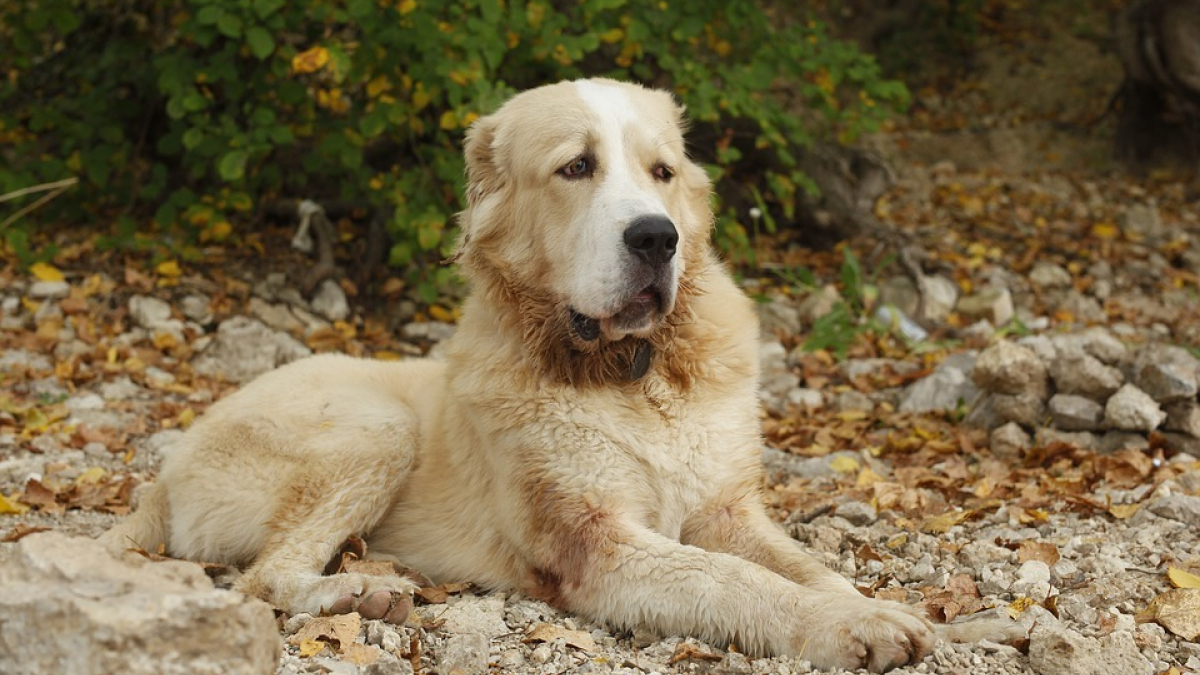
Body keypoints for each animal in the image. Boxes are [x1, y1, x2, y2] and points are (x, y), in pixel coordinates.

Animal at [98, 78, 931, 667]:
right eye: (576, 167)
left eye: (661, 172)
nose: (656, 238)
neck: (633, 372)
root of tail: (164, 474)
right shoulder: (597, 543)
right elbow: (733, 579)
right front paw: (848, 626)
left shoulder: (728, 512)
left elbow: (805, 565)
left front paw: (867, 606)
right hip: (376, 427)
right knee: (263, 578)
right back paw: (359, 591)